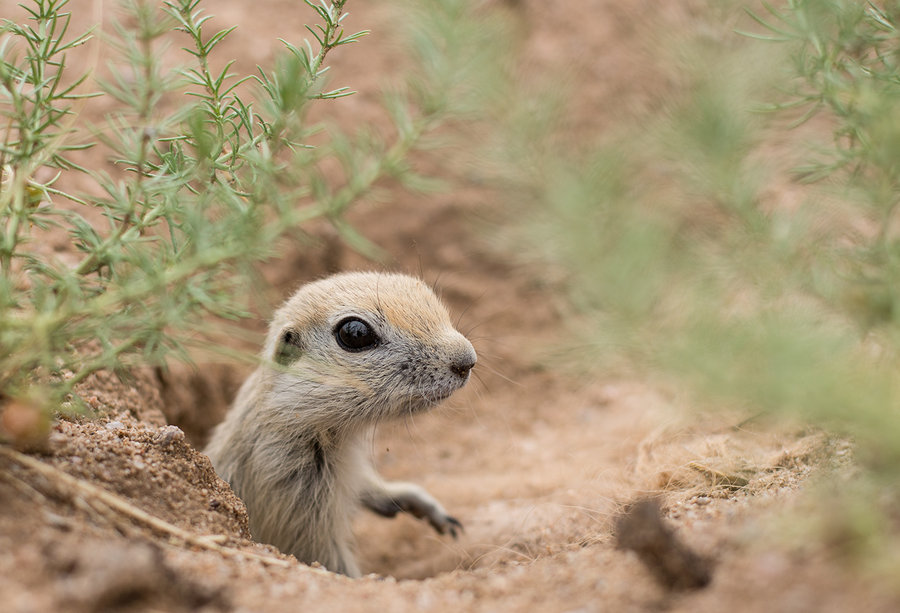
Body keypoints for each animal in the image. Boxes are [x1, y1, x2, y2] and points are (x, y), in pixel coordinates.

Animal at [206, 270, 478, 576]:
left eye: (425, 292)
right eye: (354, 333)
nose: (467, 360)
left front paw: (423, 505)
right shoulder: (289, 490)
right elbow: (327, 559)